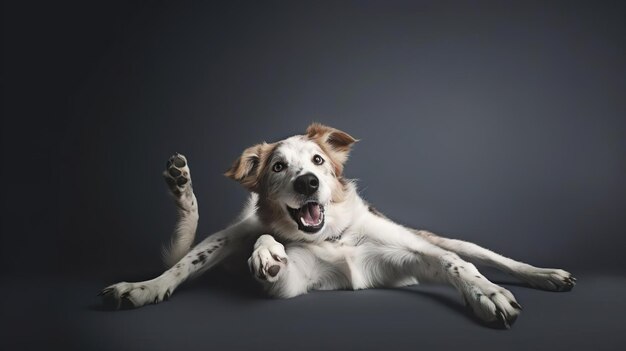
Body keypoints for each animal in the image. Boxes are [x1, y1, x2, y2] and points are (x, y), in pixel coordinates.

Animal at [102, 122, 576, 328]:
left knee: (488, 257)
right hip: (222, 241)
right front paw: (267, 253)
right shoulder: (292, 282)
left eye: (317, 161)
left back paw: (547, 275)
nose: (308, 182)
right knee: (181, 262)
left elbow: (460, 267)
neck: (334, 237)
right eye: (278, 166)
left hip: (447, 239)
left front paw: (487, 295)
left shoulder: (419, 252)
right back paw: (145, 279)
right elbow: (269, 254)